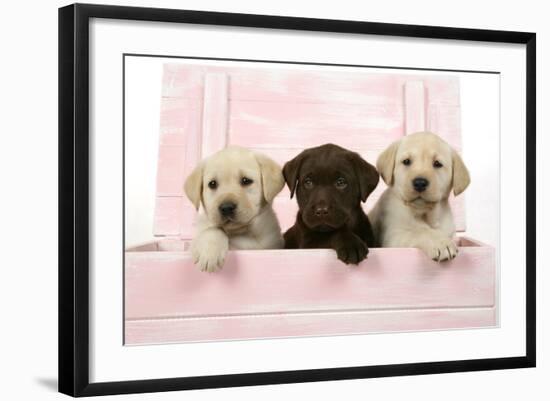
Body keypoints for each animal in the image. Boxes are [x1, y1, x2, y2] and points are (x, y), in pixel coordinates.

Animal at [370, 132, 470, 262]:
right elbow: (419, 232)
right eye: (406, 161)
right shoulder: (392, 237)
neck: (423, 214)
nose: (420, 183)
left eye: (437, 164)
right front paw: (440, 243)